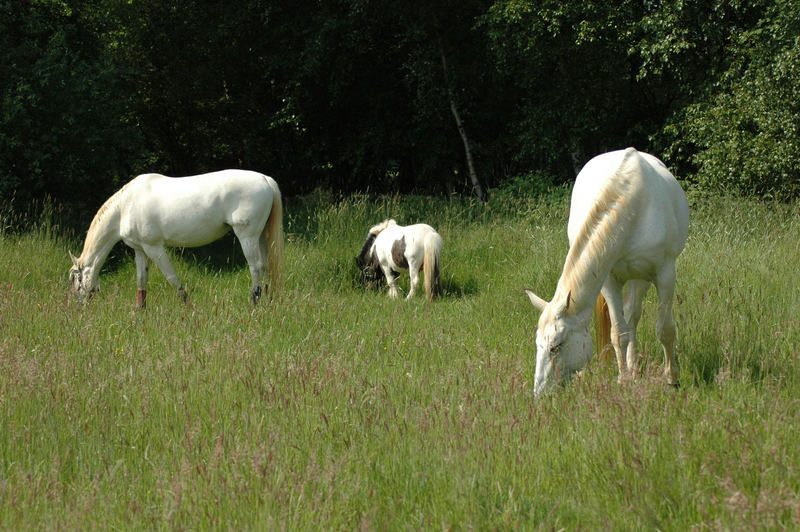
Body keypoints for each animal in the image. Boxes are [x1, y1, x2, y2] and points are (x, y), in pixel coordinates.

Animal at [68, 170, 284, 308]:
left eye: (73, 278)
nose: (77, 306)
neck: (125, 206)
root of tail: (266, 180)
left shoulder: (154, 248)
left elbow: (171, 277)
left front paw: (188, 305)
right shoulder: (140, 249)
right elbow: (141, 280)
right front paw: (139, 310)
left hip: (247, 237)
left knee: (256, 268)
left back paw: (254, 302)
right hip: (261, 237)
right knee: (265, 267)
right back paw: (268, 300)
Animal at [524, 149, 688, 394]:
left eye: (556, 346)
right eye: (538, 344)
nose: (539, 393)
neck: (633, 205)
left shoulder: (665, 274)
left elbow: (665, 329)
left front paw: (672, 379)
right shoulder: (610, 280)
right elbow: (618, 334)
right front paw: (624, 381)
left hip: (642, 277)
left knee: (634, 315)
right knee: (630, 319)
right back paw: (634, 369)